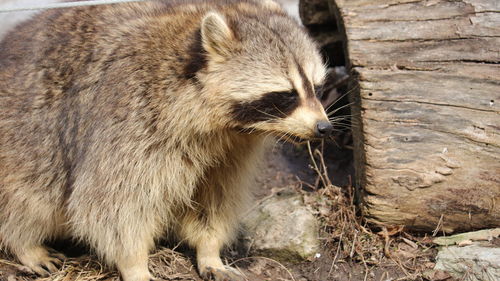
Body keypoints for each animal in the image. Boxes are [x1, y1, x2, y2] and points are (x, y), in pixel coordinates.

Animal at [0, 0, 332, 280]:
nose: (324, 128)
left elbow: (214, 198)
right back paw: (24, 243)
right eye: (287, 95)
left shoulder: (232, 151)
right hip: (23, 139)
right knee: (29, 192)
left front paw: (209, 250)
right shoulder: (131, 120)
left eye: (316, 88)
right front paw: (134, 264)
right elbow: (112, 204)